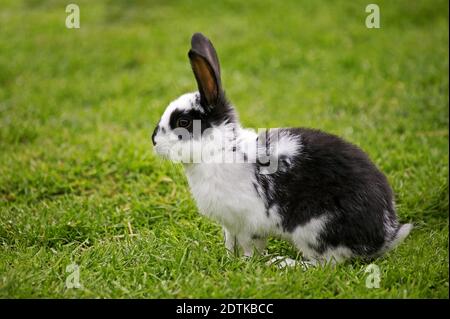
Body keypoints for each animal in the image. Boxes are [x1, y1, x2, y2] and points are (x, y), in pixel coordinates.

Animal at [153, 33, 414, 268]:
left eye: (184, 122)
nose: (154, 141)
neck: (222, 148)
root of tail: (383, 236)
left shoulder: (248, 223)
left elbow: (249, 247)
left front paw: (247, 263)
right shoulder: (231, 225)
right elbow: (230, 242)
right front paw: (227, 259)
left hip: (314, 230)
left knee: (327, 263)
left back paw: (283, 263)